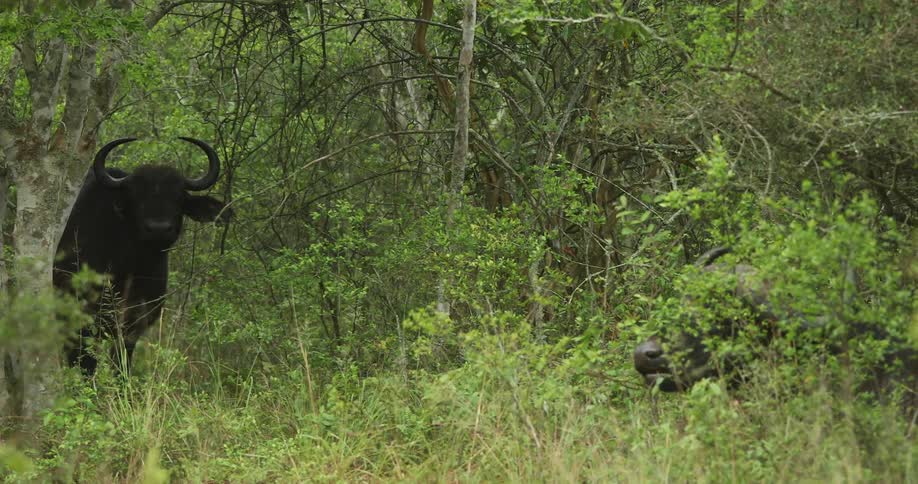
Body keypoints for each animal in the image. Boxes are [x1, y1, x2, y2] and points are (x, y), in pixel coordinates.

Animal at [53, 137, 230, 376]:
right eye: (136, 197)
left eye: (178, 198)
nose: (159, 229)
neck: (131, 265)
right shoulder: (82, 322)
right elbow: (85, 365)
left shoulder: (133, 327)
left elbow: (122, 367)